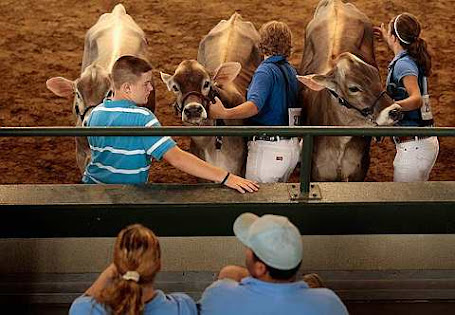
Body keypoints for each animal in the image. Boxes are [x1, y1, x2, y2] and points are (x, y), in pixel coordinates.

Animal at [298, 0, 400, 181]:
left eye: (377, 76)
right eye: (353, 88)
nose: (395, 111)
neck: (341, 143)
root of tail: (336, 4)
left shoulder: (358, 170)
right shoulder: (317, 173)